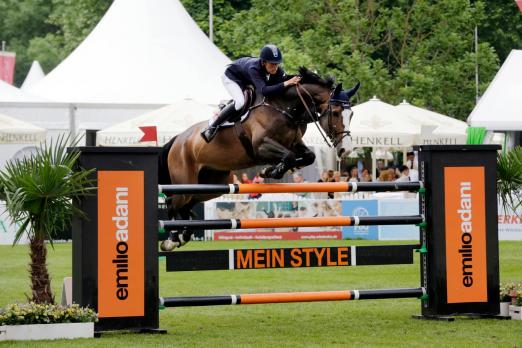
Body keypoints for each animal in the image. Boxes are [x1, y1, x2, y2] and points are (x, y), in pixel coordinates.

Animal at [158, 66, 358, 249]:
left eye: (352, 114)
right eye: (335, 112)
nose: (345, 150)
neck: (283, 108)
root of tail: (178, 139)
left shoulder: (294, 143)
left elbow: (308, 156)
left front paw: (270, 170)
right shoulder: (260, 147)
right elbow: (289, 156)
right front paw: (272, 171)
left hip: (212, 185)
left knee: (185, 204)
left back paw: (183, 235)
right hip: (185, 181)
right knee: (172, 203)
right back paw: (172, 239)